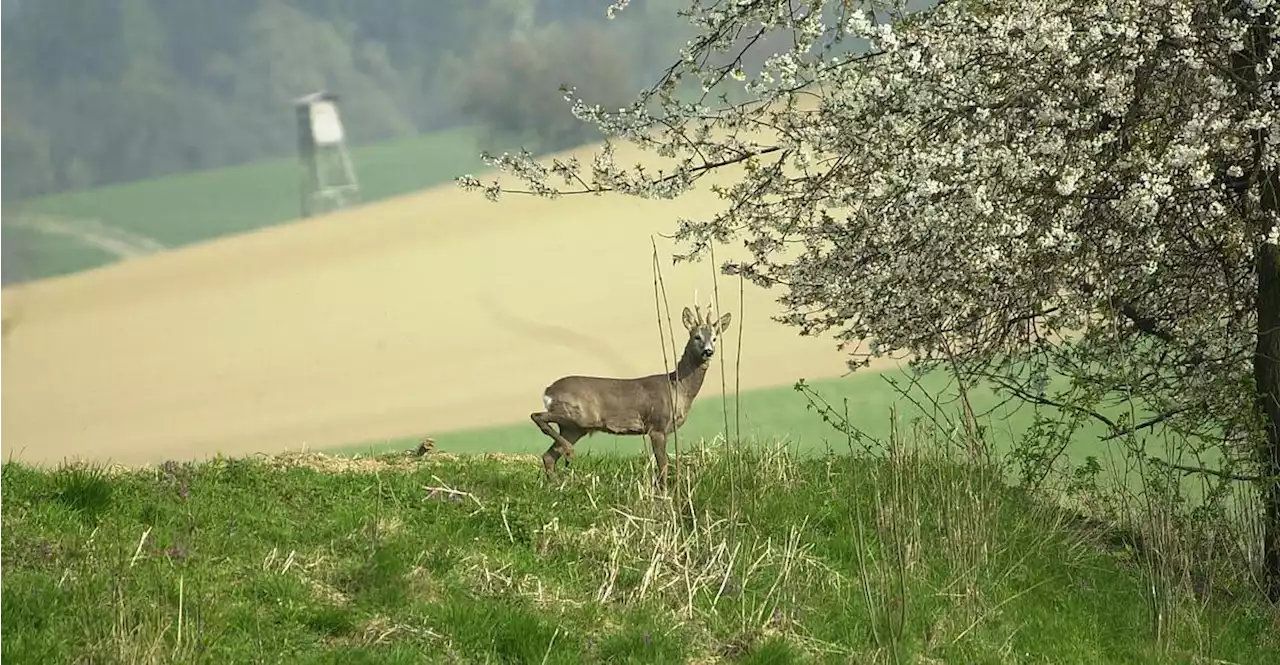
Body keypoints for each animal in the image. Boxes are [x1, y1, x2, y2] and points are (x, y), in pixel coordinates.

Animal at [529, 304, 732, 485]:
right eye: (697, 336)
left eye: (715, 338)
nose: (708, 351)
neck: (678, 387)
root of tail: (548, 391)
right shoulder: (657, 425)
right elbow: (663, 465)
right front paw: (664, 494)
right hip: (578, 417)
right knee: (537, 416)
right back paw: (569, 453)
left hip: (573, 428)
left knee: (548, 456)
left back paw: (556, 484)